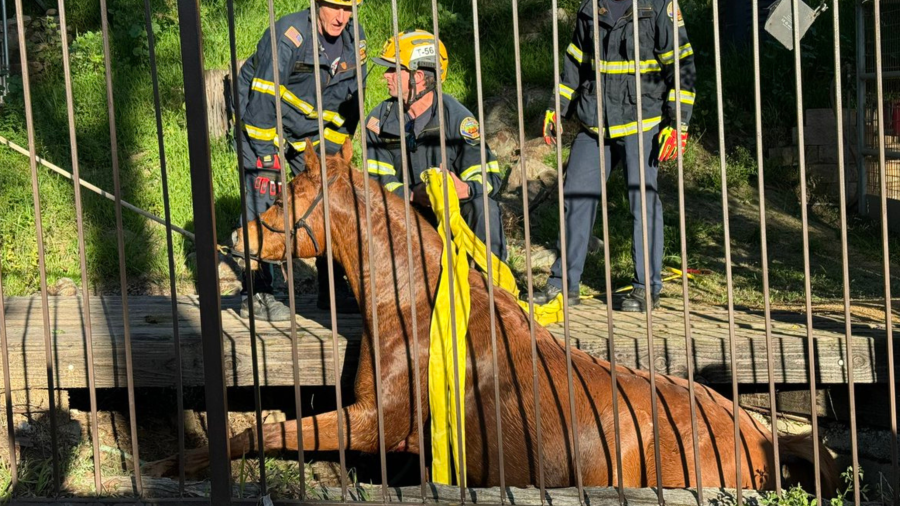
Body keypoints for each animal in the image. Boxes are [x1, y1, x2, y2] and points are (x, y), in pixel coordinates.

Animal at [144, 139, 840, 494]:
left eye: (286, 194)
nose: (239, 236)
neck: (410, 301)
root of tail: (764, 435)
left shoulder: (377, 421)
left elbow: (262, 433)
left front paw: (175, 465)